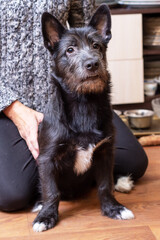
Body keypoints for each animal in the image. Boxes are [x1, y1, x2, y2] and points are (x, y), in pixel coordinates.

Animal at [32, 4, 134, 232]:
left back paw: (122, 182)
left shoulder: (105, 152)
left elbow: (105, 185)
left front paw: (113, 208)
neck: (83, 103)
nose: (92, 64)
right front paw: (46, 216)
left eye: (97, 46)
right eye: (70, 50)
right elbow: (51, 191)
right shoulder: (47, 159)